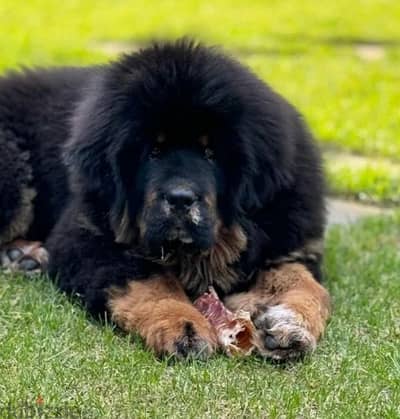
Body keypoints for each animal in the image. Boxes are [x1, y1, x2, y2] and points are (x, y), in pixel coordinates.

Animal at [0, 40, 330, 360]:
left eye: (211, 154)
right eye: (152, 152)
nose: (180, 199)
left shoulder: (288, 247)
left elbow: (309, 285)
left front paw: (290, 323)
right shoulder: (86, 239)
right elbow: (151, 281)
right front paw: (183, 326)